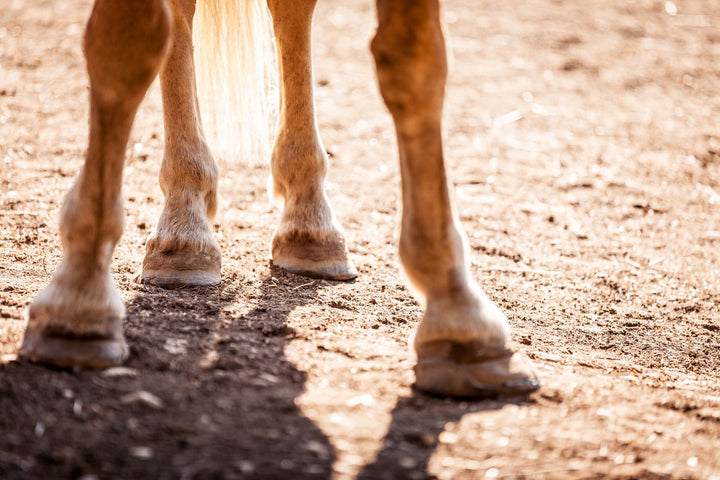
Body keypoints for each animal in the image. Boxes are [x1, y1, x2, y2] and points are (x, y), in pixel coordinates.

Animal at [18, 0, 540, 398]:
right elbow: (125, 43)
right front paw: (79, 297)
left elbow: (415, 59)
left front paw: (457, 311)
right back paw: (184, 234)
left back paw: (309, 228)